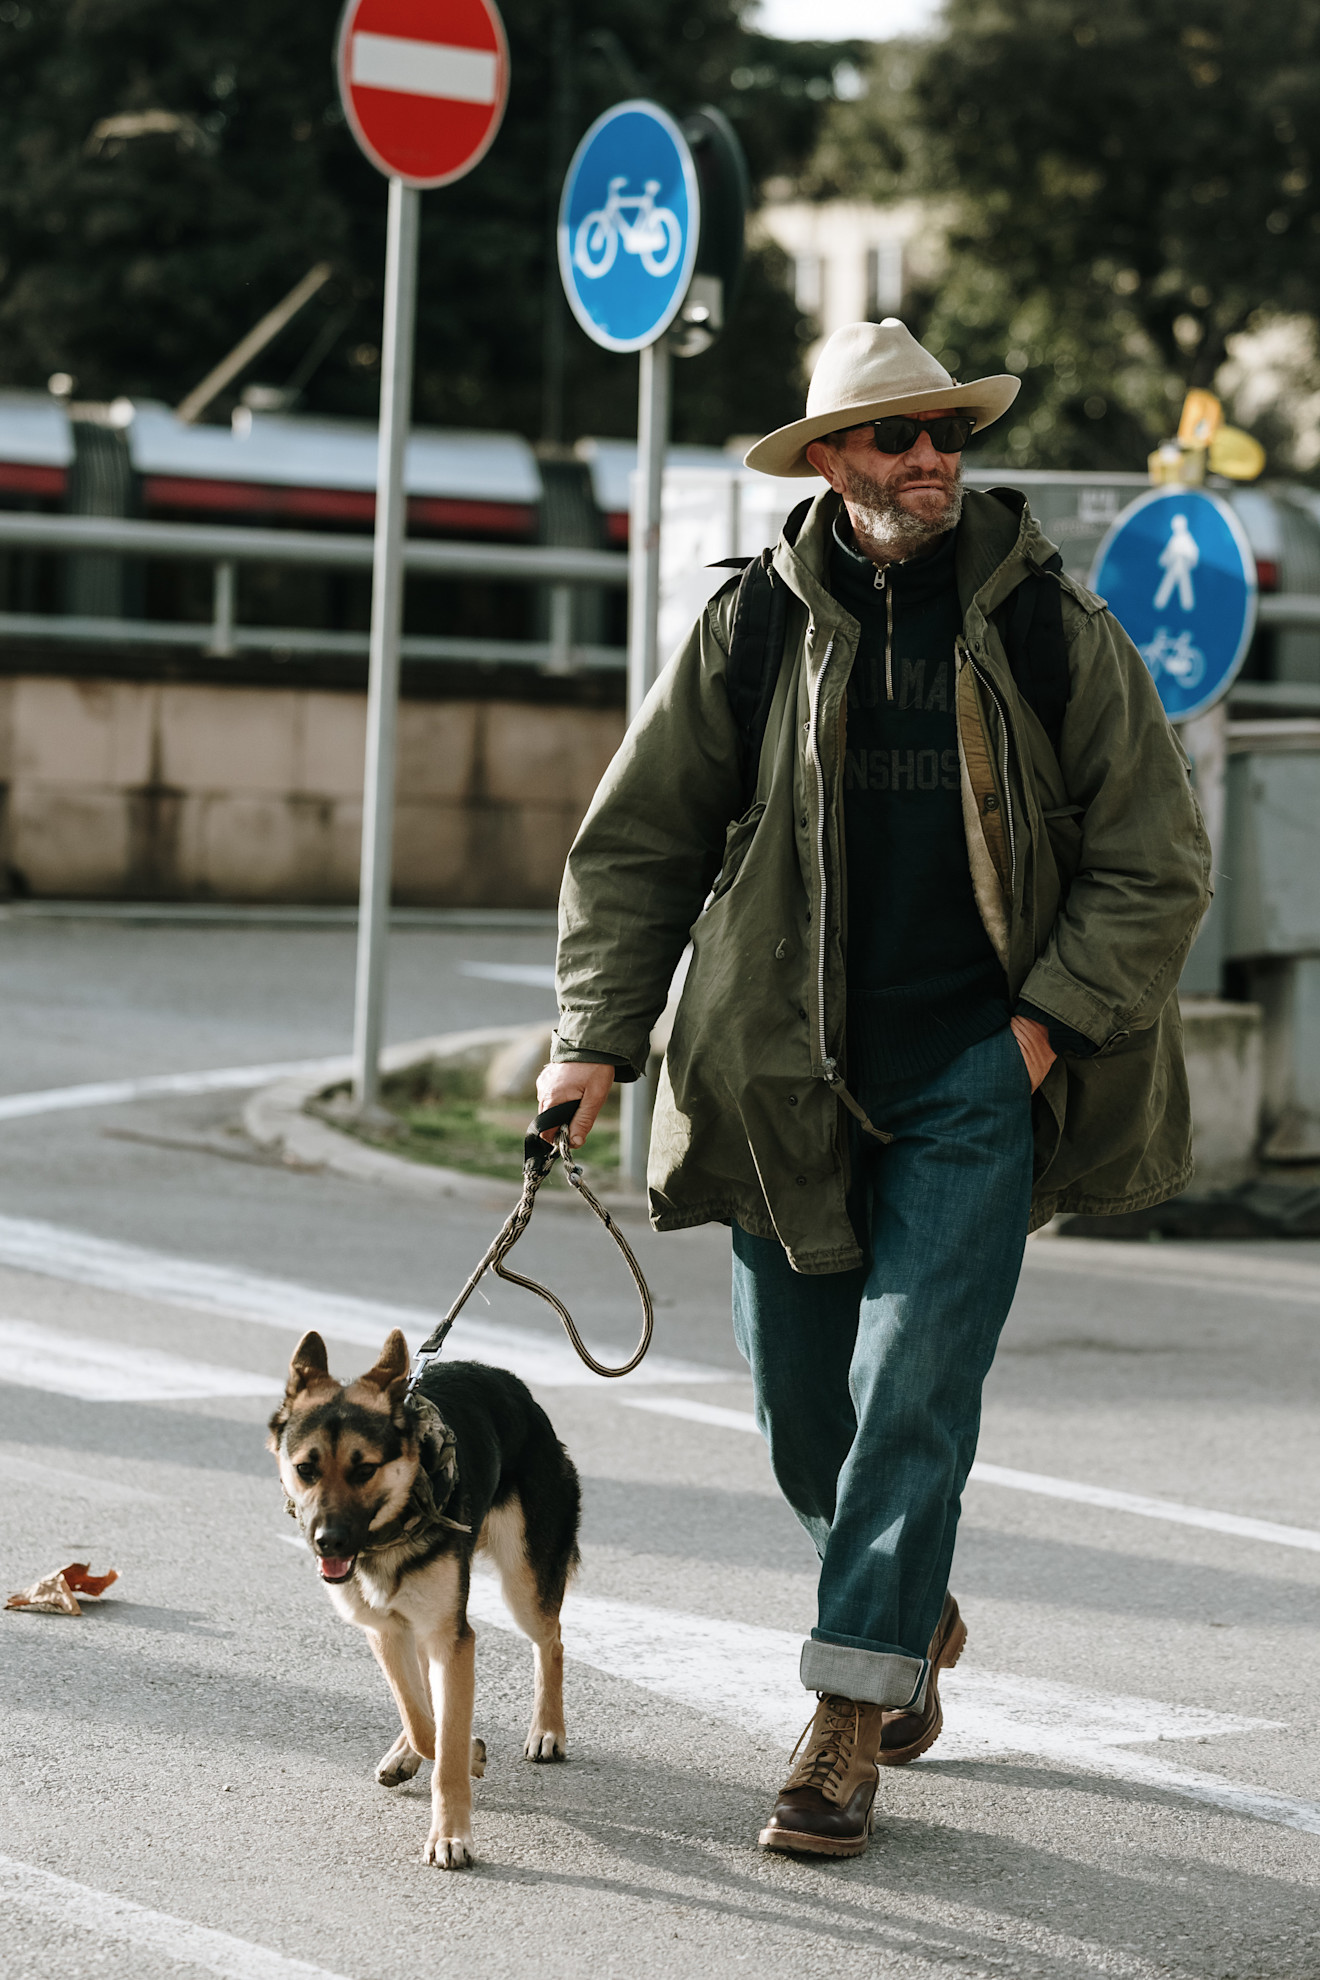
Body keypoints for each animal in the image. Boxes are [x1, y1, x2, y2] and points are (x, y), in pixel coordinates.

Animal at [267, 1330, 577, 1869]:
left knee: (552, 1641)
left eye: (364, 1470)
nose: (329, 1543)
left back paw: (548, 1731)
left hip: (523, 1590)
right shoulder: (387, 1632)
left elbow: (446, 1743)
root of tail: (509, 1380)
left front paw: (451, 1834)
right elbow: (421, 1720)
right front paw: (451, 1750)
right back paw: (405, 1754)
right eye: (305, 1469)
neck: (393, 1530)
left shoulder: (451, 1637)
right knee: (426, 1700)